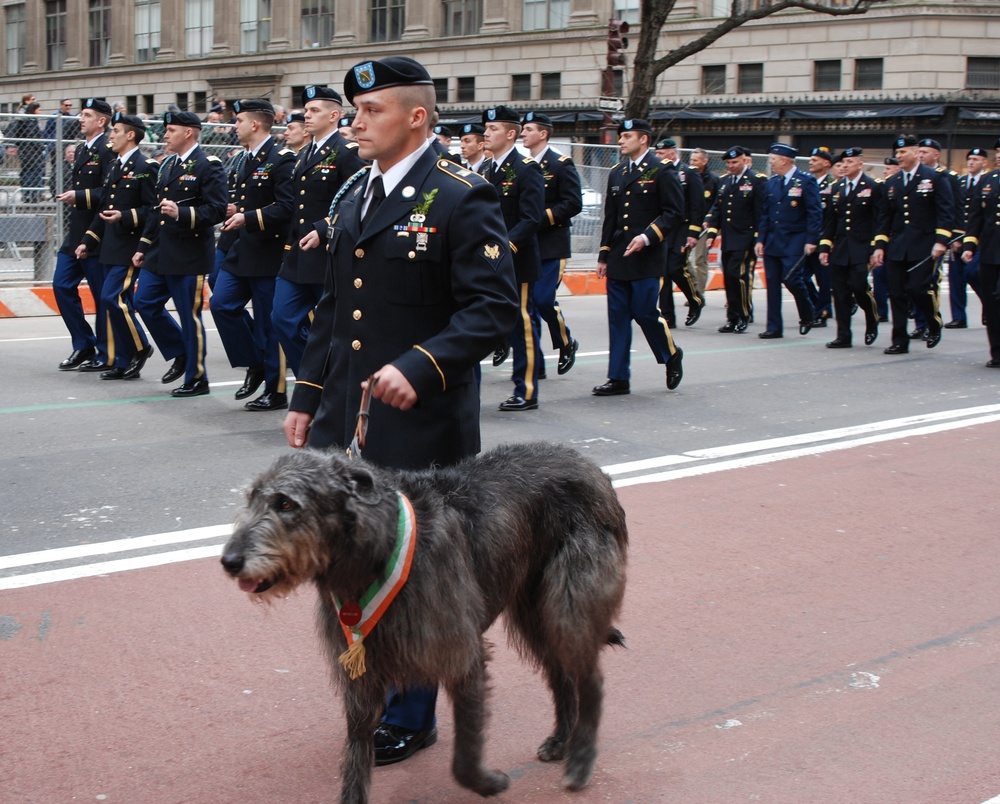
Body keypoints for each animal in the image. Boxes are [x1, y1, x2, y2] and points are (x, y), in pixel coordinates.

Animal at [221, 442, 624, 800]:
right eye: (252, 498)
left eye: (286, 503)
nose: (229, 561)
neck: (375, 550)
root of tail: (590, 465)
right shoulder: (360, 668)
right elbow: (355, 758)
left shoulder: (462, 652)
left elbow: (463, 760)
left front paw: (488, 783)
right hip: (534, 610)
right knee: (561, 673)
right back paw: (561, 740)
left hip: (569, 602)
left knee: (591, 679)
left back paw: (580, 762)